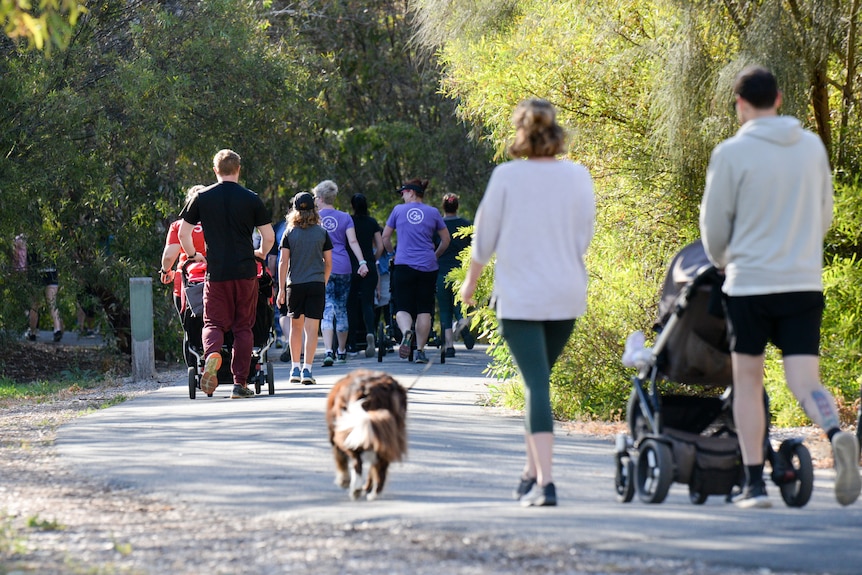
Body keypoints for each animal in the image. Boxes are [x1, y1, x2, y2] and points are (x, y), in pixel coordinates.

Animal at [328, 368, 408, 500]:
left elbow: (341, 459)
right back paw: (374, 493)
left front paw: (344, 481)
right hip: (387, 433)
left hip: (347, 434)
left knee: (357, 462)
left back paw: (356, 490)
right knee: (381, 466)